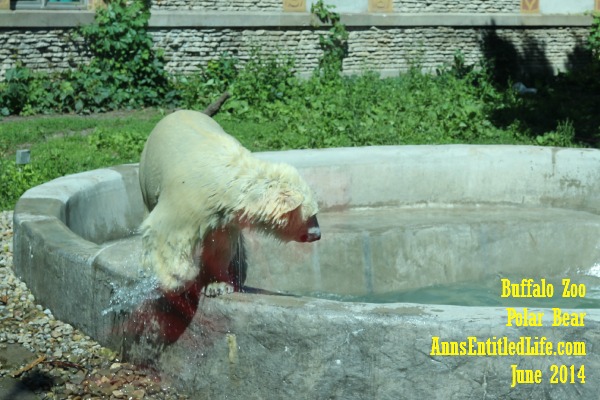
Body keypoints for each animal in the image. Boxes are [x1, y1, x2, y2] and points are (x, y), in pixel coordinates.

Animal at [139, 109, 322, 294]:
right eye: (312, 215)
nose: (318, 234)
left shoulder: (222, 214)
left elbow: (220, 245)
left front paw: (216, 285)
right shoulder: (187, 198)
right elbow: (167, 232)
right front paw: (177, 279)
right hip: (147, 172)